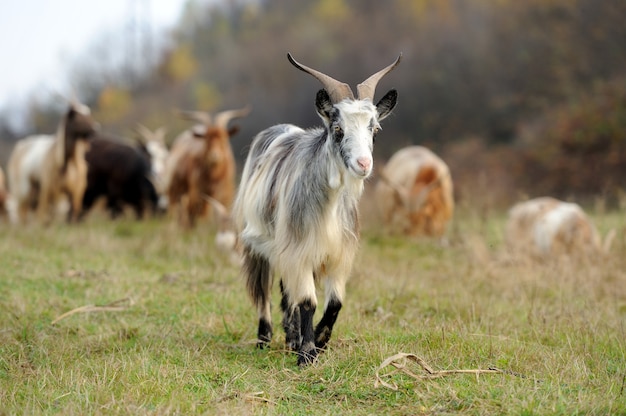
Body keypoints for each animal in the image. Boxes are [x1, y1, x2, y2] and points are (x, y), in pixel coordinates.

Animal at [230, 53, 400, 366]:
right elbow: (308, 301)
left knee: (286, 291)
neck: (330, 206)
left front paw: (318, 341)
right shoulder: (299, 249)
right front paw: (307, 355)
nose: (363, 164)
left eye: (374, 129)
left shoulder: (337, 254)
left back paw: (291, 337)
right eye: (338, 129)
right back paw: (265, 338)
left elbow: (334, 302)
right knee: (262, 290)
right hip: (257, 241)